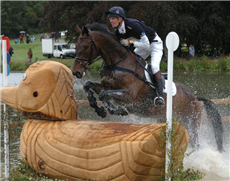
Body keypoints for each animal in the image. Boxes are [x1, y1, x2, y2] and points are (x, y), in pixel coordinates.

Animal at [73, 23, 224, 153]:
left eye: (85, 46)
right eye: (75, 46)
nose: (76, 72)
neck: (117, 63)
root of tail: (195, 97)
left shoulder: (130, 95)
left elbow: (104, 94)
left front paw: (114, 110)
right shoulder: (107, 86)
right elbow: (90, 86)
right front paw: (98, 108)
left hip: (191, 124)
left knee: (195, 145)